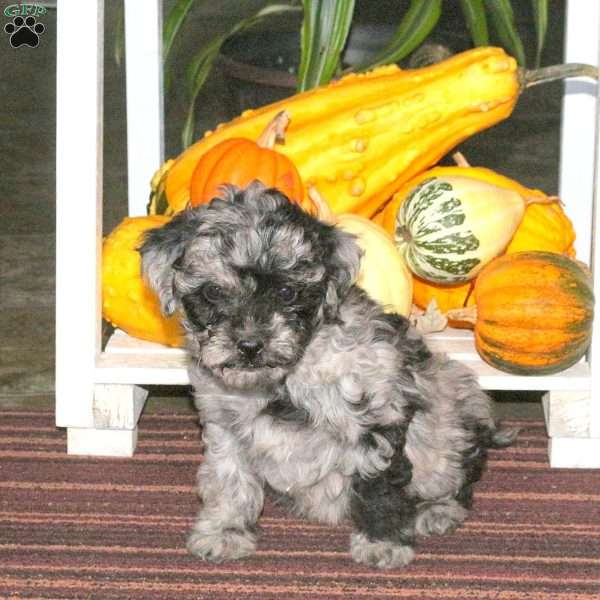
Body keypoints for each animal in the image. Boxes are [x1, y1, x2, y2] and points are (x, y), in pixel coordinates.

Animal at [141, 180, 516, 568]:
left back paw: (437, 510)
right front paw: (225, 531)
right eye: (213, 292)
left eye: (287, 291)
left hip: (448, 420)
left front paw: (383, 542)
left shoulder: (379, 413)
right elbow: (230, 480)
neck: (285, 377)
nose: (249, 346)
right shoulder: (224, 425)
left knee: (459, 477)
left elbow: (380, 485)